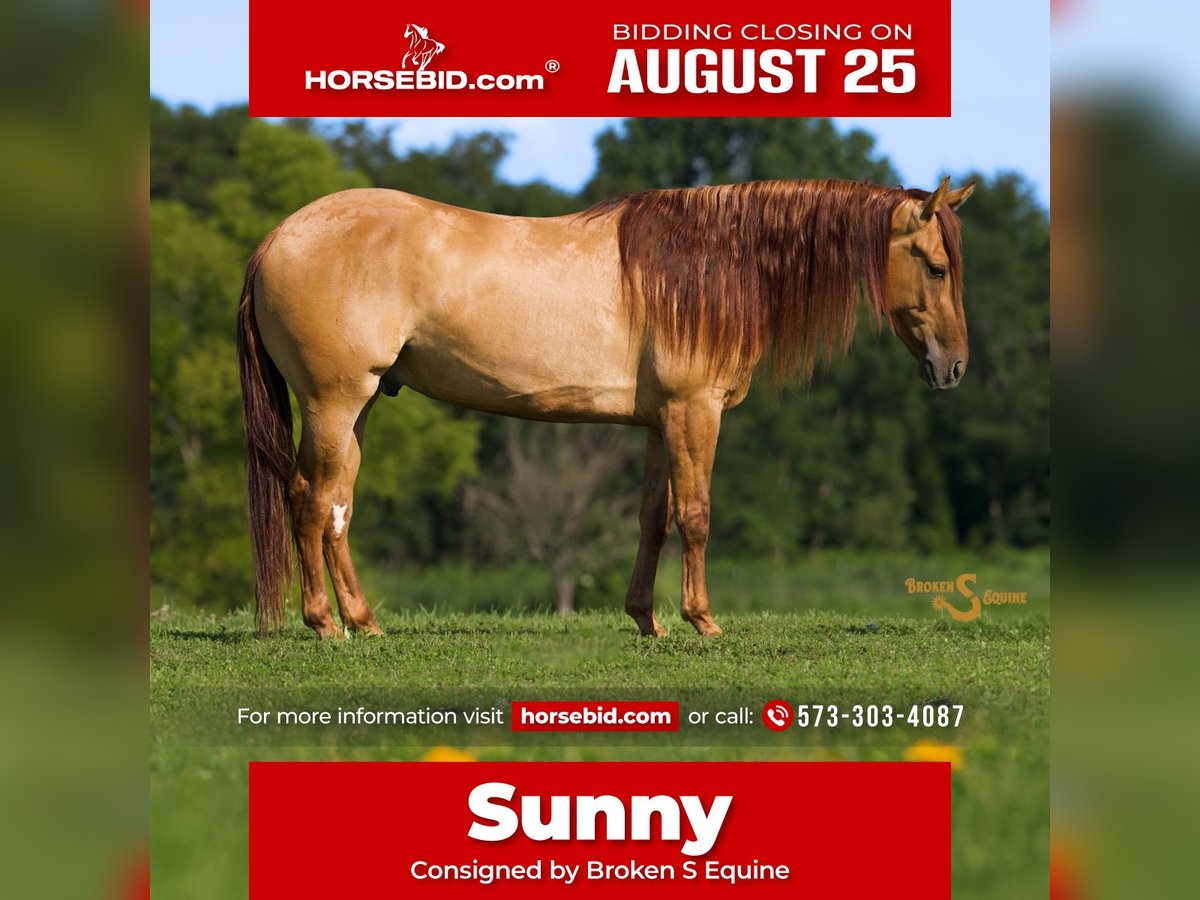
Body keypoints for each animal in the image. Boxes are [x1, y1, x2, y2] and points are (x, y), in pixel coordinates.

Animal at [237, 177, 975, 639]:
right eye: (937, 267)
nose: (954, 368)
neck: (710, 265)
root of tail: (276, 239)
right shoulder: (694, 411)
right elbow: (697, 515)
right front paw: (703, 620)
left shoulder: (658, 422)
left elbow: (654, 519)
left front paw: (646, 618)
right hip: (333, 403)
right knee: (313, 502)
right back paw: (326, 625)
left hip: (355, 407)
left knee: (335, 505)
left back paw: (363, 621)